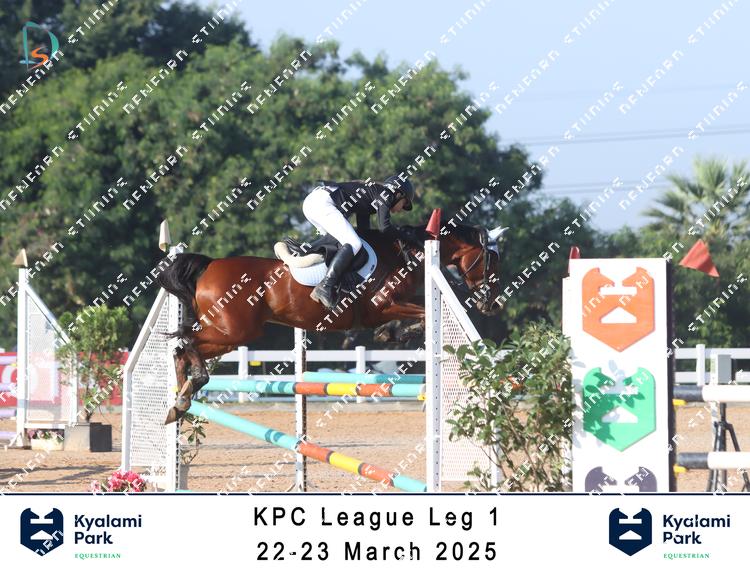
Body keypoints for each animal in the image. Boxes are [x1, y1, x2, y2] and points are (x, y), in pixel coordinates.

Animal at [158, 223, 504, 423]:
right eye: (492, 261)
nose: (493, 305)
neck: (407, 254)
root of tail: (210, 265)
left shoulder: (385, 309)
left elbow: (409, 319)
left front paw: (391, 334)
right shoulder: (383, 305)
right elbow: (421, 314)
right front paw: (401, 332)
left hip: (229, 332)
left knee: (181, 348)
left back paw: (179, 402)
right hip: (236, 331)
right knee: (187, 342)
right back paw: (192, 386)